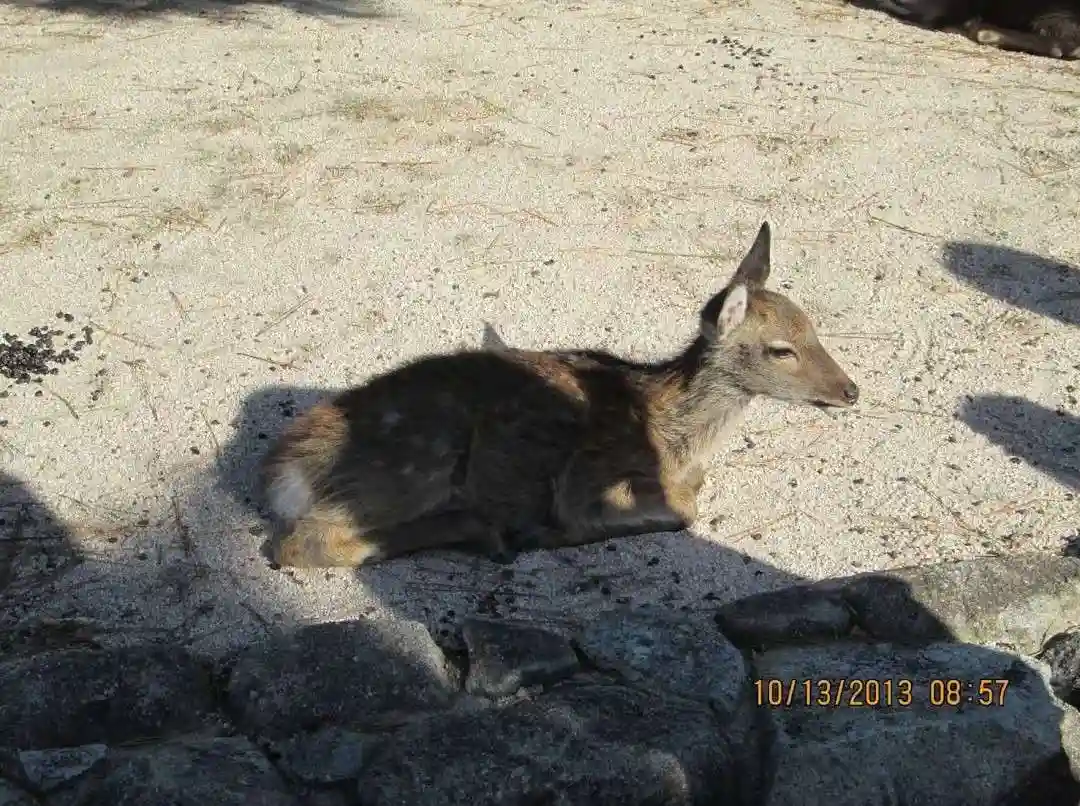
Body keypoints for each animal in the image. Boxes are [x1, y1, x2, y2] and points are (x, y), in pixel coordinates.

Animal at [259, 221, 860, 569]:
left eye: (814, 328)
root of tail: (287, 469)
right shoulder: (584, 477)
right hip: (416, 463)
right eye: (782, 349)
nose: (850, 390)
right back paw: (488, 531)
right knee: (300, 543)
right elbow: (681, 511)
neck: (671, 434)